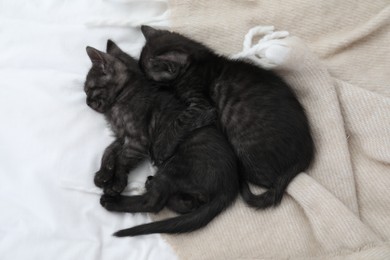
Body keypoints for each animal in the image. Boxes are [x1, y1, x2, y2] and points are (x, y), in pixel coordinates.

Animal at [84, 39, 239, 237]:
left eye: (89, 89)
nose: (87, 102)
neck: (123, 95)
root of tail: (231, 185)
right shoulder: (122, 136)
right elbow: (109, 151)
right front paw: (103, 174)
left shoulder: (137, 139)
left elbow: (122, 159)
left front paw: (116, 183)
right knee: (188, 203)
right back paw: (152, 184)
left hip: (175, 166)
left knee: (154, 202)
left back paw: (113, 202)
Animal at [139, 25, 316, 209]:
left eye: (150, 79)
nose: (144, 83)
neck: (195, 64)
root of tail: (306, 153)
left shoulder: (200, 104)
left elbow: (179, 122)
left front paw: (161, 149)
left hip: (244, 147)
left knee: (264, 179)